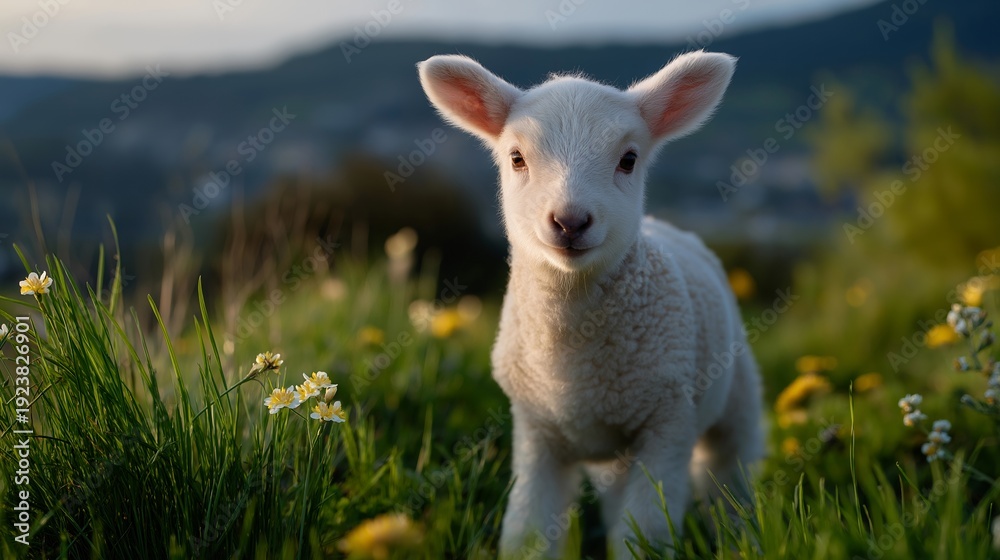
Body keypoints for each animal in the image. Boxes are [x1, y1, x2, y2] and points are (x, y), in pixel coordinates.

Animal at [417, 51, 764, 559]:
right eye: (516, 158)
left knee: (731, 470)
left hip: (736, 394)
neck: (574, 364)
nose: (570, 221)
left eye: (628, 159)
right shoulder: (536, 431)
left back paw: (742, 533)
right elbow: (529, 529)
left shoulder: (667, 424)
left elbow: (644, 533)